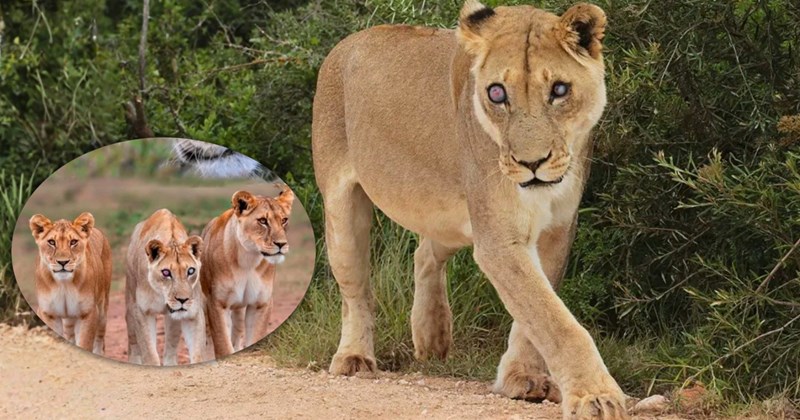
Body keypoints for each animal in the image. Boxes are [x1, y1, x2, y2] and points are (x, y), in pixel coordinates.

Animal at [29, 212, 111, 355]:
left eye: (73, 242)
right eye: (51, 242)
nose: (63, 262)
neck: (64, 285)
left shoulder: (87, 313)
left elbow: (84, 343)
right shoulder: (48, 314)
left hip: (102, 309)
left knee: (99, 337)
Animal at [125, 208, 207, 365]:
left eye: (190, 271)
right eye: (166, 272)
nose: (183, 300)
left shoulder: (193, 313)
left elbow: (198, 354)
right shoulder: (142, 312)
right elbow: (149, 354)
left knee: (170, 348)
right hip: (130, 305)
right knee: (133, 344)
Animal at [200, 187, 294, 357]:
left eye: (284, 220)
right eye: (262, 221)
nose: (281, 244)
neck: (248, 261)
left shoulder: (261, 304)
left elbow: (253, 338)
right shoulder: (217, 303)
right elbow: (223, 345)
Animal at [311, 1, 627, 418]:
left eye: (559, 90)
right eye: (497, 93)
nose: (531, 163)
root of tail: (342, 45)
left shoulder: (555, 231)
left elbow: (535, 316)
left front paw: (523, 378)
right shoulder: (498, 238)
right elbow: (554, 320)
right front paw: (596, 395)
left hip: (454, 218)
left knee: (424, 253)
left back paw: (431, 336)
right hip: (343, 208)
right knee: (356, 291)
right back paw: (354, 357)